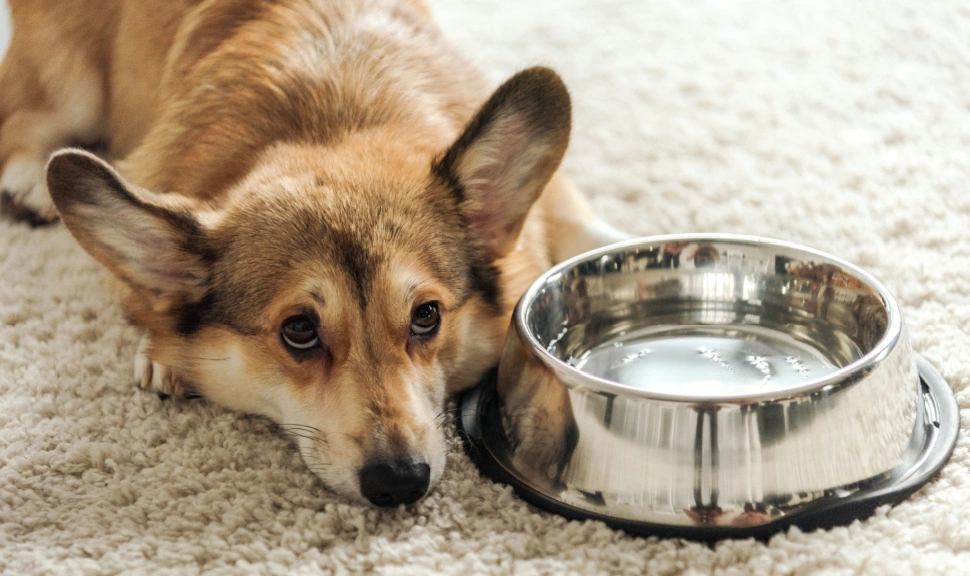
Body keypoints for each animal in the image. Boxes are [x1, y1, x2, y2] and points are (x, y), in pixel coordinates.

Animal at [0, 0, 628, 504]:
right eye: (299, 330)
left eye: (427, 316)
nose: (400, 482)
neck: (333, 126)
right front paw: (161, 350)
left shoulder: (553, 203)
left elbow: (584, 224)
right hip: (72, 87)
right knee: (25, 120)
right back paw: (30, 182)